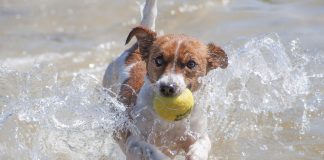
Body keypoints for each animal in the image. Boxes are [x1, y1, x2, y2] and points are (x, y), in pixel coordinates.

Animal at [103, 0, 228, 159]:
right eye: (158, 60)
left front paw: (195, 154)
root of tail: (135, 49)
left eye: (191, 64)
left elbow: (201, 146)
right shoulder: (133, 140)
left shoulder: (198, 135)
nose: (168, 87)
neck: (170, 123)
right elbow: (150, 149)